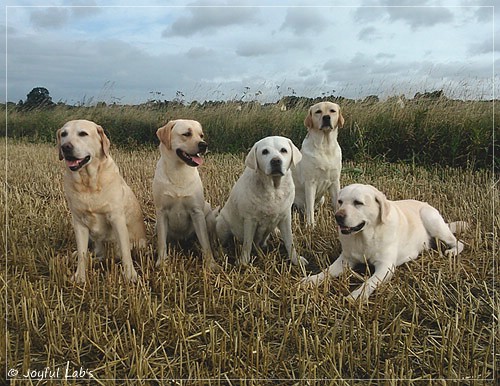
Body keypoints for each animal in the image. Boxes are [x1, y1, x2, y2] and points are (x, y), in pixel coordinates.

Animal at [57, 120, 146, 284]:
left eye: (83, 133)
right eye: (63, 134)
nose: (65, 147)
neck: (88, 183)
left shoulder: (117, 219)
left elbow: (125, 252)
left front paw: (131, 275)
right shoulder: (79, 223)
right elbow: (82, 254)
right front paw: (80, 277)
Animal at [152, 119, 219, 270]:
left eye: (201, 135)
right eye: (187, 134)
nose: (204, 145)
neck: (178, 172)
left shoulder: (197, 212)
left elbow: (205, 243)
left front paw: (211, 263)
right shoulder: (161, 212)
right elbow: (161, 242)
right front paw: (162, 262)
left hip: (209, 216)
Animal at [216, 135, 306, 266]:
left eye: (283, 150)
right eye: (265, 152)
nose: (276, 161)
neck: (274, 189)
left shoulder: (285, 217)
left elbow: (290, 242)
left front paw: (296, 259)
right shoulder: (250, 220)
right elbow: (247, 244)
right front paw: (243, 263)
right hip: (222, 224)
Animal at [300, 184, 468, 302]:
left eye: (358, 203)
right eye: (340, 202)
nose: (338, 216)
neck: (364, 237)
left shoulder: (385, 267)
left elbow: (369, 282)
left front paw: (356, 296)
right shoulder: (345, 260)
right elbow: (327, 271)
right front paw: (311, 280)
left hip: (432, 220)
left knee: (459, 242)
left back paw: (452, 251)